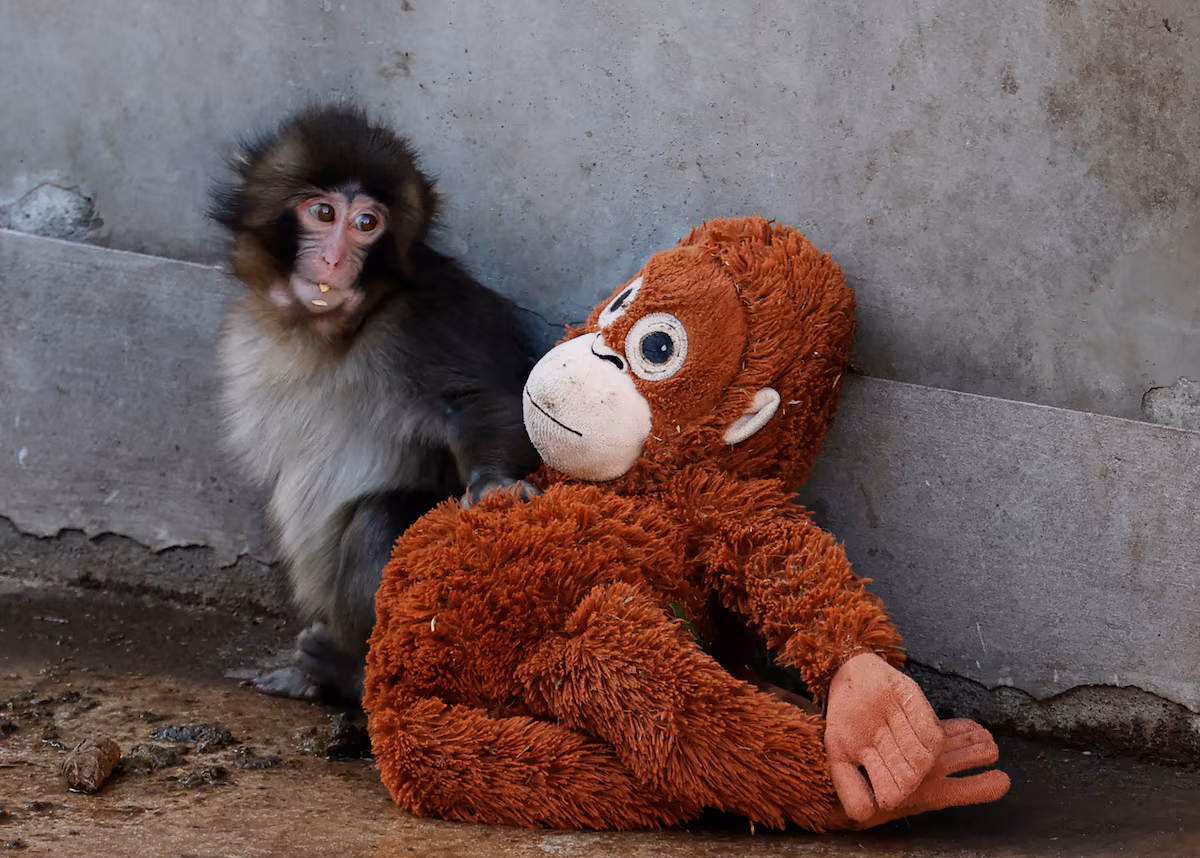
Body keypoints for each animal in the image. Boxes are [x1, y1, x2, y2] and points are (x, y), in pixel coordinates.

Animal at [210, 105, 542, 704]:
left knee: (379, 520)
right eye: (323, 213)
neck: (330, 331)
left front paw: (495, 484)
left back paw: (347, 674)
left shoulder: (426, 318)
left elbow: (487, 400)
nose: (335, 258)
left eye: (368, 224)